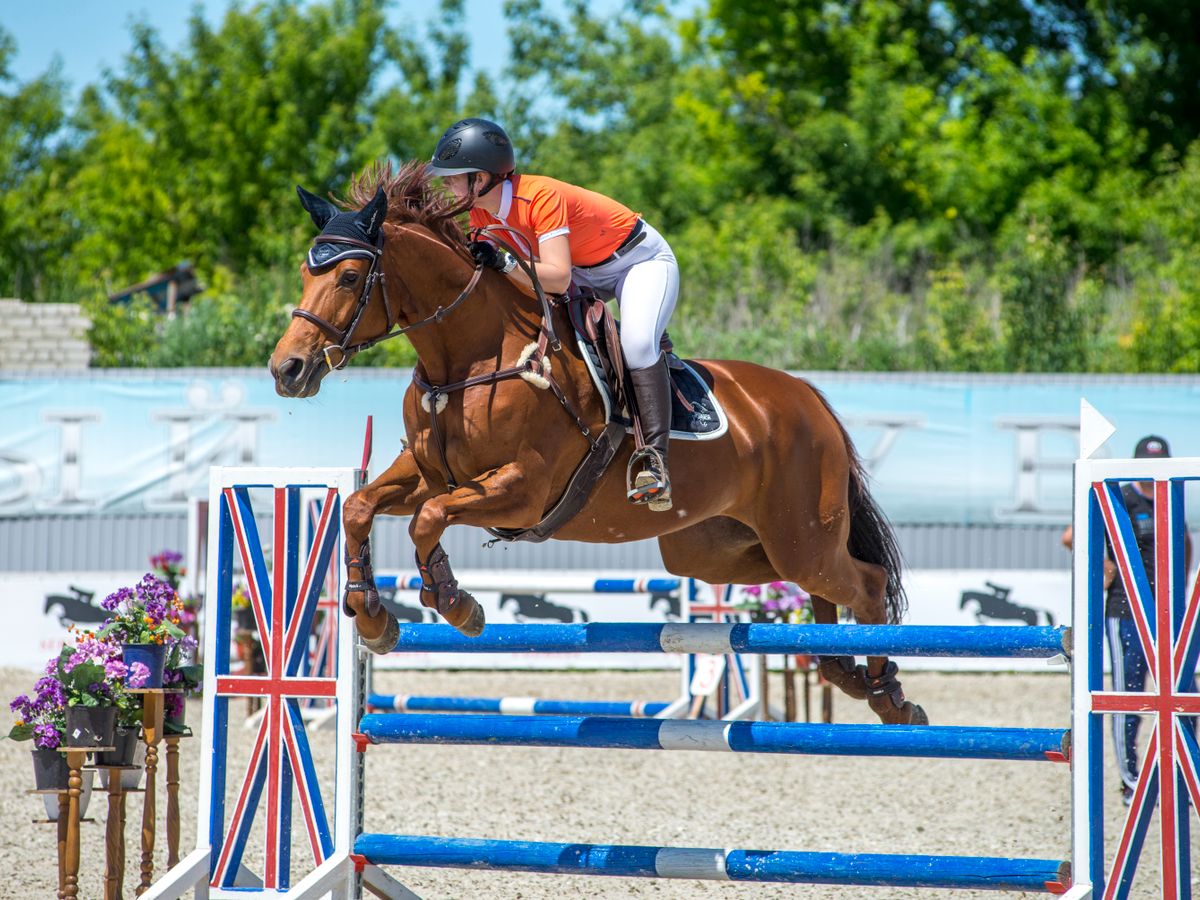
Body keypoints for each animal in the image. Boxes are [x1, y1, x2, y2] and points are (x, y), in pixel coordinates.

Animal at [268, 160, 926, 725]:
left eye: (350, 276)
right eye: (304, 273)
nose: (287, 370)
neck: (472, 358)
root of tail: (807, 398)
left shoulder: (522, 490)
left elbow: (428, 518)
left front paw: (455, 603)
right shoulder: (429, 474)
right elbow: (360, 506)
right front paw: (372, 614)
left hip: (800, 536)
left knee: (863, 583)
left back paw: (888, 695)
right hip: (717, 549)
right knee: (812, 592)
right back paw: (845, 671)